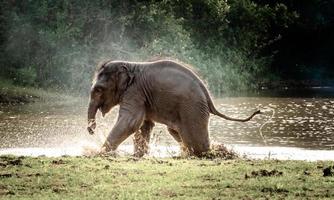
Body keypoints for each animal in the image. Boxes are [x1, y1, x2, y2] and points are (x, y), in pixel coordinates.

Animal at [87, 59, 260, 156]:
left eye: (99, 89)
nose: (91, 130)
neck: (130, 65)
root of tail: (208, 96)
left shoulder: (135, 92)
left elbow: (130, 122)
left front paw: (98, 153)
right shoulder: (142, 96)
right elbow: (144, 124)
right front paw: (138, 156)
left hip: (192, 109)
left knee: (196, 141)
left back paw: (205, 154)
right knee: (176, 132)